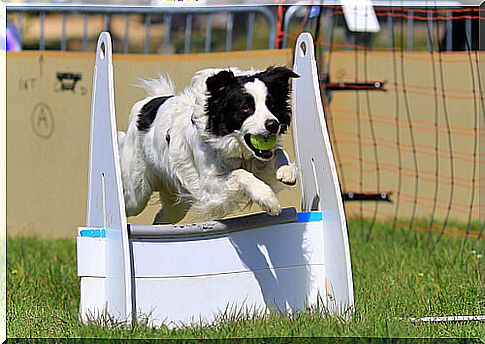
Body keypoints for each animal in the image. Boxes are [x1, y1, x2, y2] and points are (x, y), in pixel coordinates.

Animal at [117, 66, 298, 224]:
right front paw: (268, 198)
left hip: (176, 204)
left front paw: (287, 171)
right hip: (136, 194)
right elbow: (239, 173)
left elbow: (278, 152)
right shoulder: (209, 186)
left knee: (161, 220)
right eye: (246, 107)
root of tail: (146, 103)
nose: (273, 125)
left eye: (272, 105)